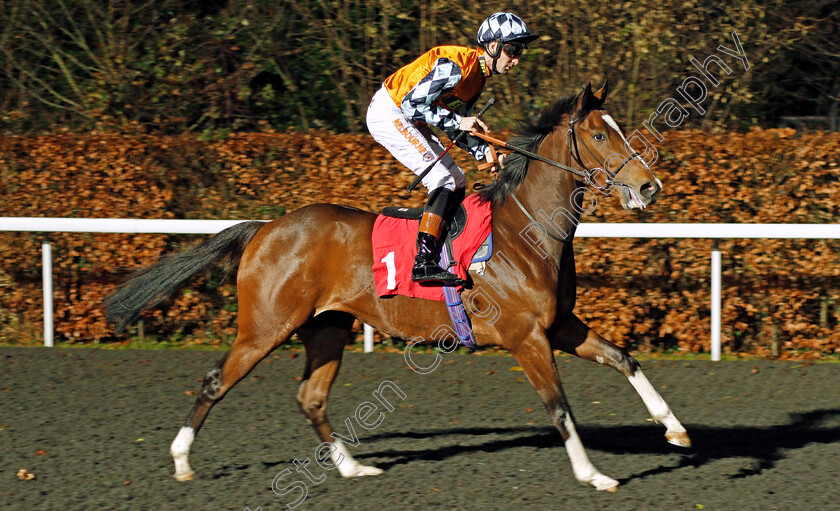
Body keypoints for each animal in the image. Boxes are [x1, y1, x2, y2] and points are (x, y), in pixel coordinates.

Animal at [103, 82, 688, 494]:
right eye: (599, 135)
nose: (649, 186)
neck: (526, 231)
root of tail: (266, 228)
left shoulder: (560, 325)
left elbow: (624, 358)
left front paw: (674, 429)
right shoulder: (526, 337)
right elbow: (559, 406)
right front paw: (594, 474)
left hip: (328, 326)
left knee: (311, 397)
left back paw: (352, 468)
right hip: (266, 326)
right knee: (213, 382)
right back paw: (181, 459)